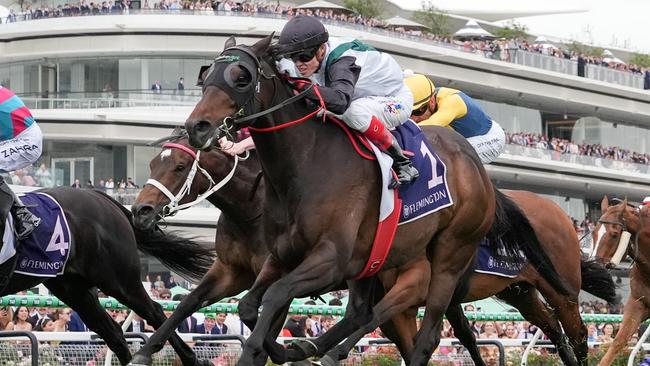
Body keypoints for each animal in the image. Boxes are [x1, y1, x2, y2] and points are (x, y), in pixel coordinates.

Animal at [0, 189, 213, 366]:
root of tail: (100, 196)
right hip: (74, 290)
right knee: (114, 334)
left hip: (119, 281)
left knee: (154, 311)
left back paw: (192, 360)